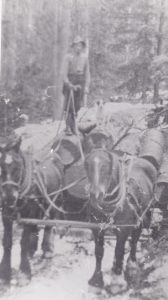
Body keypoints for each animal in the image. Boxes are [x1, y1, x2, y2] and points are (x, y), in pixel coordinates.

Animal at [0, 136, 64, 284]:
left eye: (18, 167)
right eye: (1, 167)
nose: (10, 197)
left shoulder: (30, 212)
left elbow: (23, 241)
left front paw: (24, 273)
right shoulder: (6, 214)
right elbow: (7, 242)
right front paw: (5, 273)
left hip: (53, 201)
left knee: (48, 225)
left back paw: (47, 250)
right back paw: (32, 250)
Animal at [84, 148, 159, 292]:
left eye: (106, 166)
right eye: (87, 165)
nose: (95, 195)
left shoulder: (123, 230)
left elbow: (119, 251)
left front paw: (117, 282)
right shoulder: (97, 228)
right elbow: (99, 252)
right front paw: (96, 280)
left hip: (144, 215)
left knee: (135, 239)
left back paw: (132, 265)